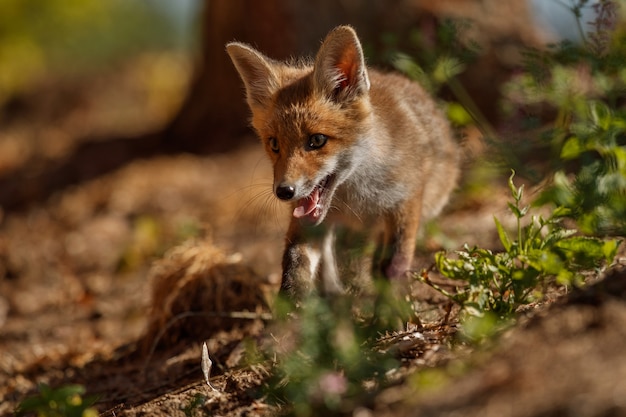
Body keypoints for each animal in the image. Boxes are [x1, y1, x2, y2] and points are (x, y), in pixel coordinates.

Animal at [228, 25, 458, 300]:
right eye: (274, 144)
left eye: (317, 140)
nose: (284, 191)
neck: (355, 199)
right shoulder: (307, 219)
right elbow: (296, 258)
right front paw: (293, 300)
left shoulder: (406, 202)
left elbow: (394, 261)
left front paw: (392, 305)